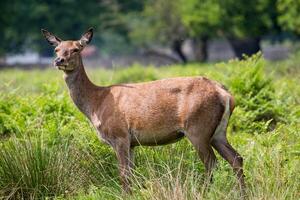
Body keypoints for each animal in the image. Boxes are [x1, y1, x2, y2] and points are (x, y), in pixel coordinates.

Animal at [41, 27, 245, 196]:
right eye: (56, 49)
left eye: (76, 49)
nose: (59, 60)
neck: (96, 103)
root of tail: (225, 94)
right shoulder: (132, 143)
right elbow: (131, 173)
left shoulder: (120, 135)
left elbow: (123, 174)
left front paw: (125, 195)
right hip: (218, 131)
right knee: (236, 158)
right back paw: (243, 193)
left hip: (198, 128)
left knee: (211, 163)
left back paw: (205, 192)